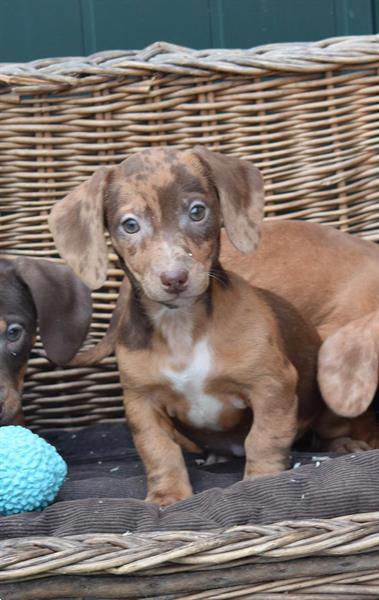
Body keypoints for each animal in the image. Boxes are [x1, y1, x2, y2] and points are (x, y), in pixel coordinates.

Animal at [50, 146, 324, 506]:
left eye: (197, 211)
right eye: (130, 224)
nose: (174, 278)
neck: (181, 328)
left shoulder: (271, 385)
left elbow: (264, 438)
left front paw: (262, 481)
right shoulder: (141, 403)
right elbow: (159, 450)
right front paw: (167, 496)